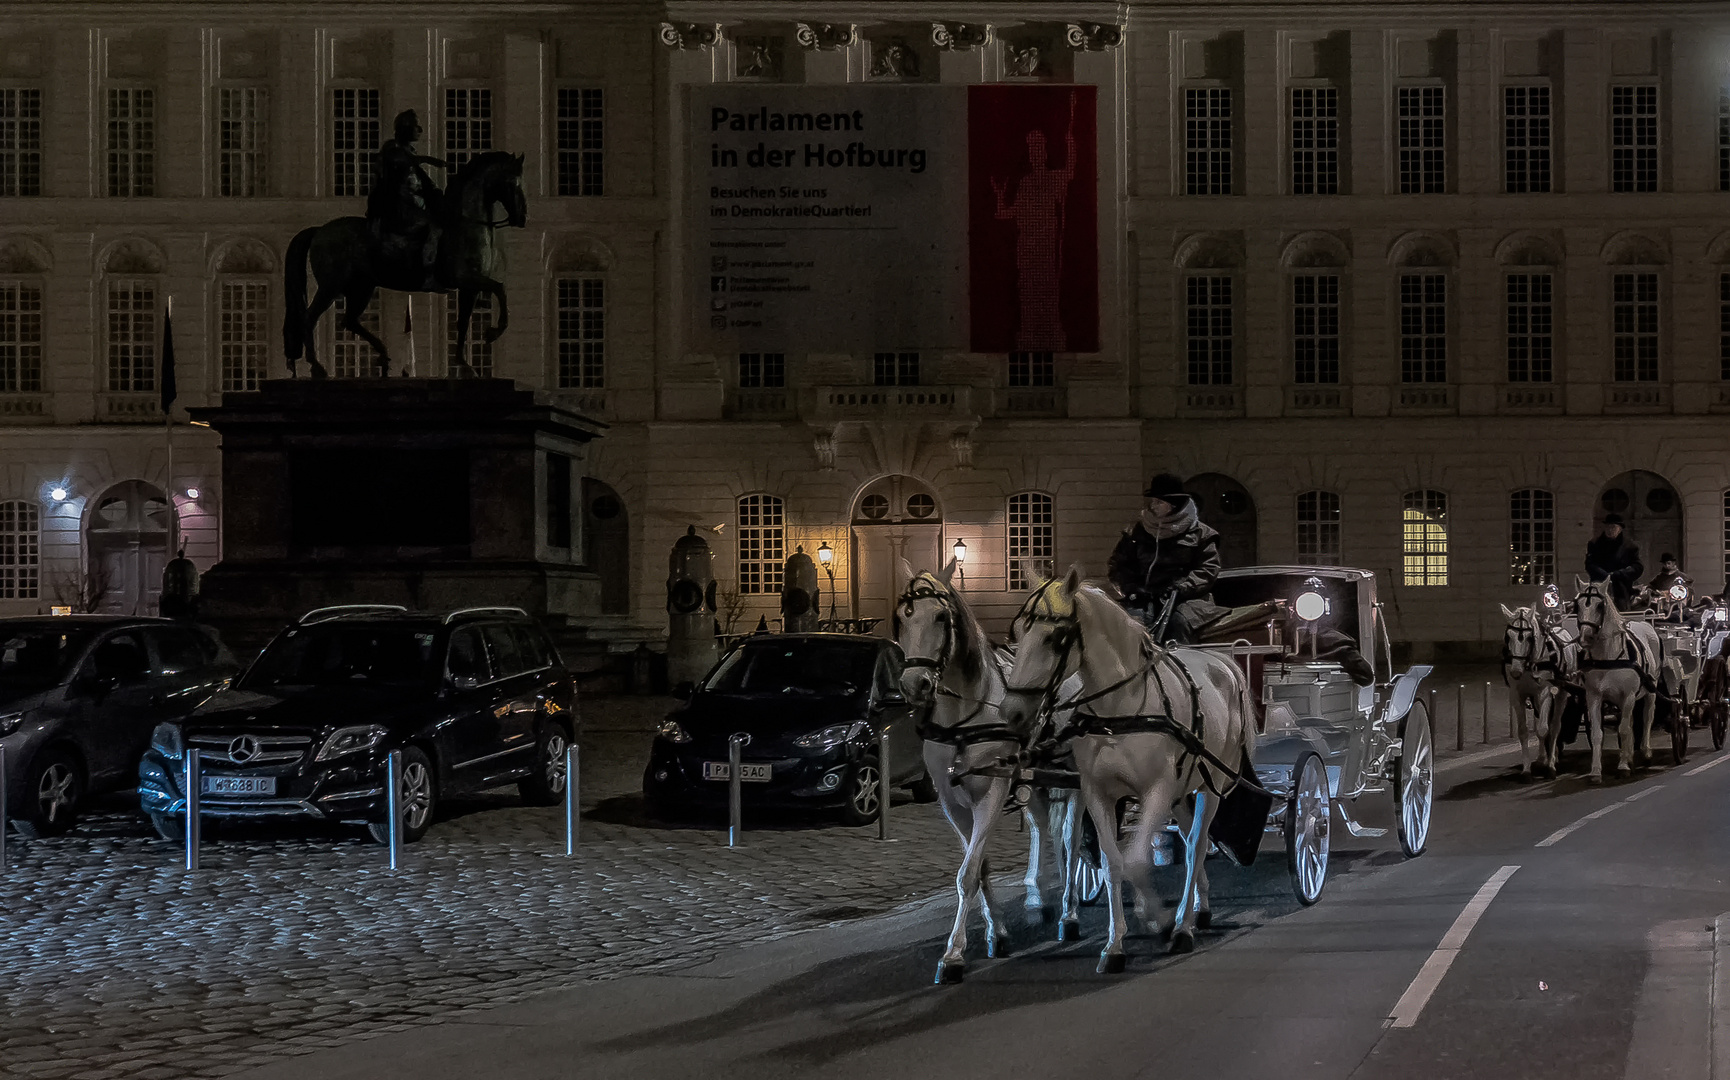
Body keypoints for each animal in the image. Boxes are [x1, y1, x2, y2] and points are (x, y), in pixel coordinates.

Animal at [892, 560, 1079, 983]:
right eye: (903, 617)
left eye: (941, 617)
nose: (915, 684)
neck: (963, 719)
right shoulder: (952, 803)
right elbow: (979, 867)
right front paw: (997, 932)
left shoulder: (991, 794)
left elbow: (968, 873)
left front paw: (953, 954)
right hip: (1033, 781)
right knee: (1043, 827)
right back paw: (1037, 895)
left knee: (1070, 837)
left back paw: (1070, 909)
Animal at [1003, 564, 1259, 969]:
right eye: (1017, 633)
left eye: (1055, 638)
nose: (1011, 711)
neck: (1119, 710)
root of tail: (1225, 663)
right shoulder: (1098, 794)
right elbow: (1113, 864)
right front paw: (1115, 945)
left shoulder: (1156, 791)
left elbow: (1137, 860)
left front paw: (1160, 919)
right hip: (1182, 791)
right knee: (1190, 840)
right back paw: (1199, 907)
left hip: (1210, 786)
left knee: (1197, 844)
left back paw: (1184, 924)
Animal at [1501, 598, 1584, 775]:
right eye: (1508, 636)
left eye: (1529, 637)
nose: (1515, 671)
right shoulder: (1516, 694)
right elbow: (1523, 731)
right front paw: (1527, 768)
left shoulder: (1545, 691)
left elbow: (1543, 729)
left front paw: (1549, 766)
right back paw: (1543, 757)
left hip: (1561, 693)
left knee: (1555, 725)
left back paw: (1551, 759)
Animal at [1577, 578, 1653, 778]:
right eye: (1576, 604)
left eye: (1600, 605)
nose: (1586, 637)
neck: (1607, 657)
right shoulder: (1594, 696)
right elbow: (1597, 733)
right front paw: (1596, 771)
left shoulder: (1628, 695)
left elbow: (1623, 729)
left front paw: (1623, 765)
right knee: (1631, 721)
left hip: (1650, 692)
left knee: (1647, 717)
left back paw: (1646, 751)